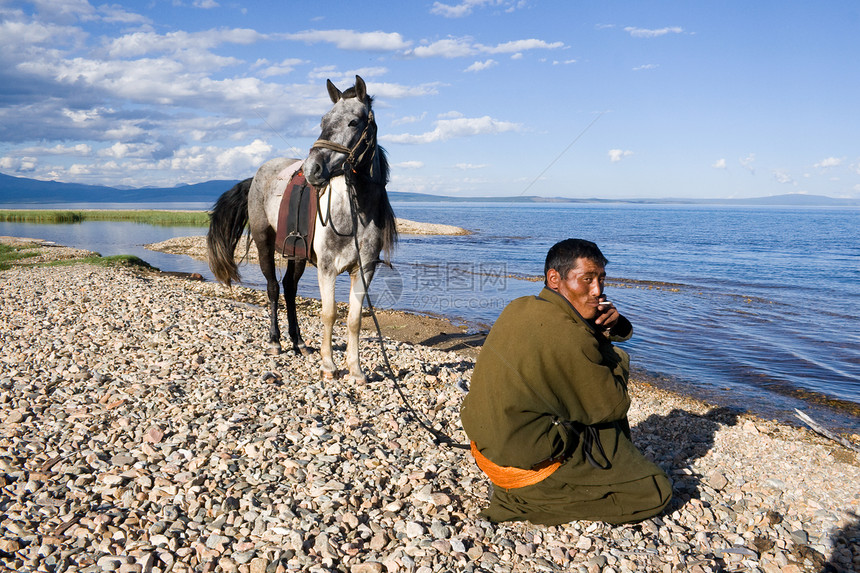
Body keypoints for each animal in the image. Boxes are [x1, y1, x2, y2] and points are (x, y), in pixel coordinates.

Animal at [207, 75, 398, 380]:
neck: (355, 213)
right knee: (274, 288)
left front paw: (356, 370)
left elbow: (354, 319)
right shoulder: (327, 268)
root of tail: (260, 173)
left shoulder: (364, 269)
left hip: (296, 253)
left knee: (289, 288)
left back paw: (299, 342)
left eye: (354, 122)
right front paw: (329, 365)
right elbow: (329, 314)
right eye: (323, 120)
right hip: (264, 243)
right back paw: (275, 341)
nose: (312, 169)